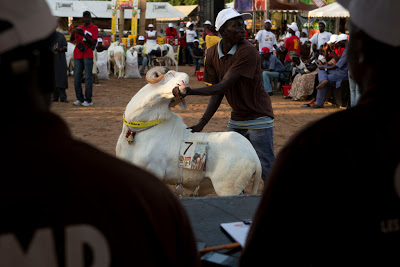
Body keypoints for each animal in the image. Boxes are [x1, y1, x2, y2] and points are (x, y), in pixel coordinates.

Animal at [115, 67, 262, 197]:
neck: (137, 130)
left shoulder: (153, 173)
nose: (183, 85)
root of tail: (255, 158)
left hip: (228, 189)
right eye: (170, 74)